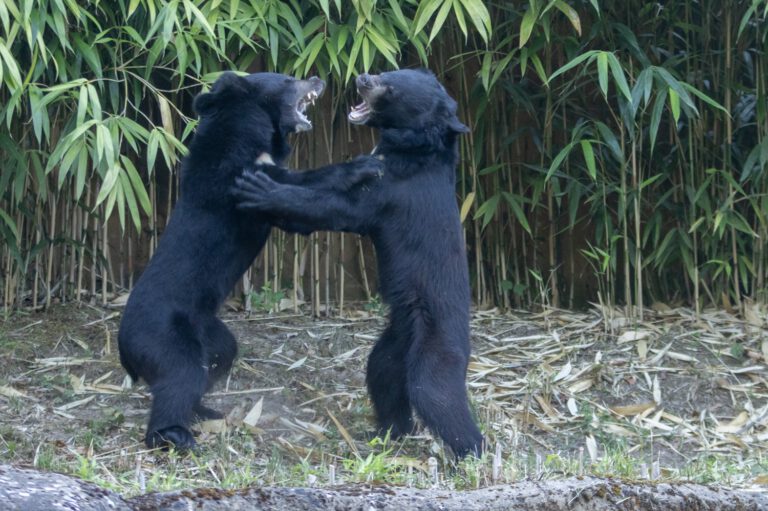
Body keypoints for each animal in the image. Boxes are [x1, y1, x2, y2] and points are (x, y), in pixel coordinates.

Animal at [118, 71, 382, 450]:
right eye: (288, 80)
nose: (317, 77)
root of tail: (124, 348)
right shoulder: (237, 178)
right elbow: (296, 188)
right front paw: (365, 165)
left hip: (209, 332)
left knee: (217, 358)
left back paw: (203, 410)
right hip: (162, 336)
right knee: (179, 376)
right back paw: (174, 435)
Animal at [232, 69, 485, 458]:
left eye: (390, 88)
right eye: (391, 70)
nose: (363, 76)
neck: (412, 149)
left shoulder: (389, 191)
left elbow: (333, 208)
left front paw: (261, 190)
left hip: (435, 350)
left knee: (437, 396)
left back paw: (471, 453)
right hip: (392, 347)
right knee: (383, 377)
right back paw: (389, 432)